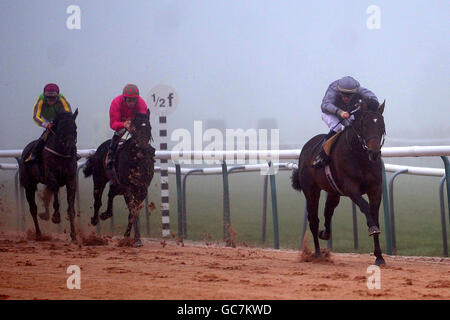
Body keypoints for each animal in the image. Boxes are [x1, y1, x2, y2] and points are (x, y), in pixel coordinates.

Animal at [19, 109, 79, 241]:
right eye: (62, 128)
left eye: (75, 127)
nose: (71, 147)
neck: (62, 154)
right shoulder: (50, 176)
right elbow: (55, 189)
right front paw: (56, 216)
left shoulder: (71, 179)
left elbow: (71, 207)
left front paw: (73, 235)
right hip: (29, 185)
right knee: (33, 208)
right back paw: (38, 233)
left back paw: (45, 215)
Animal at [82, 110, 155, 248]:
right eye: (135, 128)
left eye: (149, 127)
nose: (144, 148)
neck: (137, 160)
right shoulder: (128, 188)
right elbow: (133, 210)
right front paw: (135, 239)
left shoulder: (142, 189)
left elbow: (133, 211)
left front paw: (129, 237)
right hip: (99, 179)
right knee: (98, 200)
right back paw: (95, 219)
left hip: (117, 185)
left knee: (110, 193)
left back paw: (106, 214)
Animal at [292, 97, 386, 264]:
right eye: (365, 124)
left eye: (381, 125)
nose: (374, 153)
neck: (360, 156)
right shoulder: (351, 188)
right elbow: (365, 207)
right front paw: (372, 228)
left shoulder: (376, 188)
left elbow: (374, 215)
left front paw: (379, 256)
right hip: (311, 190)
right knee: (313, 220)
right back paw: (318, 253)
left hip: (333, 191)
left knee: (328, 211)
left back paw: (325, 233)